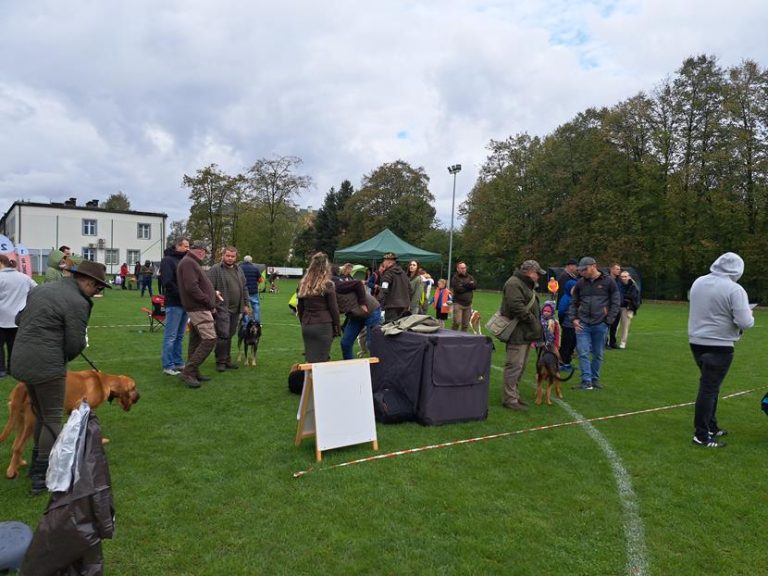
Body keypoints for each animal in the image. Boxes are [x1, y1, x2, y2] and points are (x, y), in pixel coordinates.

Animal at [0, 372, 140, 480]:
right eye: (133, 387)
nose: (139, 396)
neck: (104, 382)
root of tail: (20, 387)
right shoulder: (82, 407)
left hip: (21, 421)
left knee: (15, 445)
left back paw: (18, 463)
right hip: (32, 421)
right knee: (18, 447)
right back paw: (11, 472)